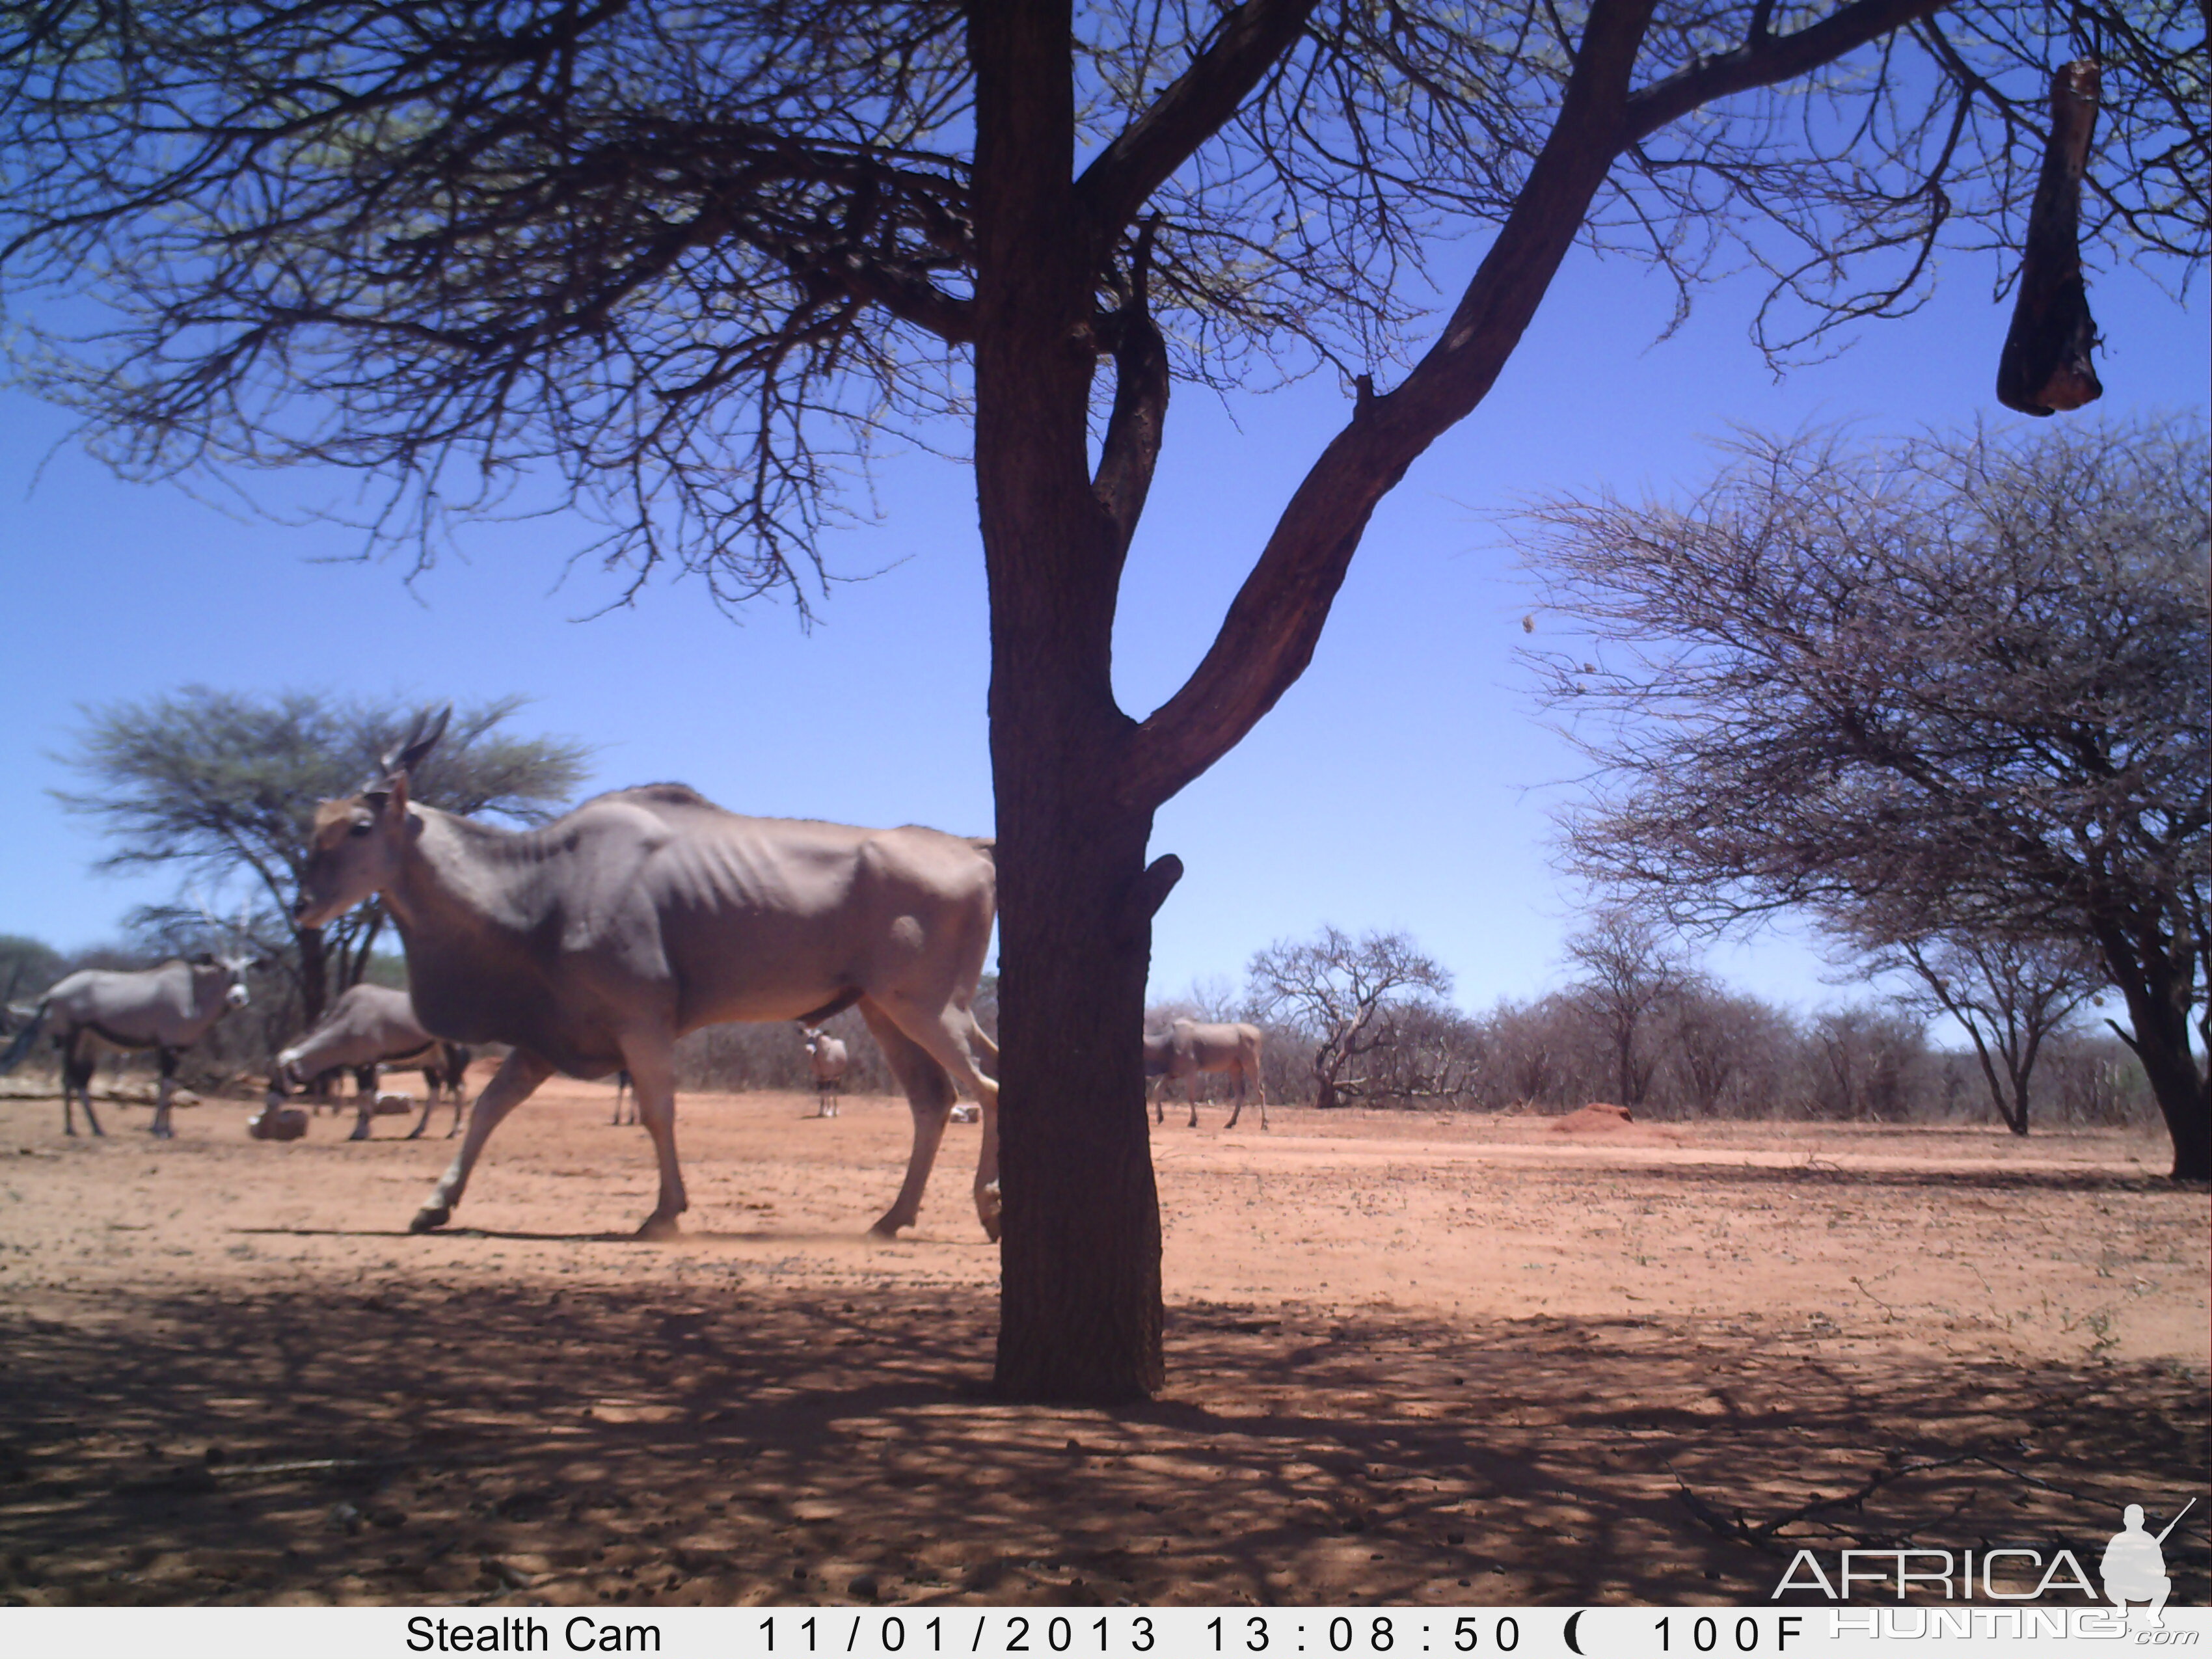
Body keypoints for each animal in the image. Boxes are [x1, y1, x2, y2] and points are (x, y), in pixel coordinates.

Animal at [256, 986, 468, 1141]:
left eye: (280, 1075)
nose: (270, 1102)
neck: (348, 1019)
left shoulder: (366, 1065)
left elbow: (365, 1097)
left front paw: (359, 1132)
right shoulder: (362, 1065)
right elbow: (365, 1097)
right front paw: (364, 1128)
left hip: (451, 1055)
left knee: (459, 1088)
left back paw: (455, 1130)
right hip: (428, 1062)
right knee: (435, 1092)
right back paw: (417, 1131)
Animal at [805, 1035, 854, 1124]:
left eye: (817, 1038)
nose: (809, 1050)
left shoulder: (829, 1076)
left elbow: (828, 1091)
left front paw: (828, 1112)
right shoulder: (819, 1077)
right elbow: (822, 1092)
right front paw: (821, 1112)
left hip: (836, 1077)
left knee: (834, 1090)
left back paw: (835, 1112)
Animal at [1150, 1021, 1274, 1141]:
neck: (1168, 1042)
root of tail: (1258, 1032)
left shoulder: (1190, 1072)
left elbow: (1190, 1096)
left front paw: (1192, 1122)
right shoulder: (1172, 1074)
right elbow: (1157, 1089)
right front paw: (1160, 1117)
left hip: (1251, 1065)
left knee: (1260, 1092)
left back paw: (1264, 1124)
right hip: (1235, 1069)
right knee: (1241, 1093)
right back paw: (1230, 1123)